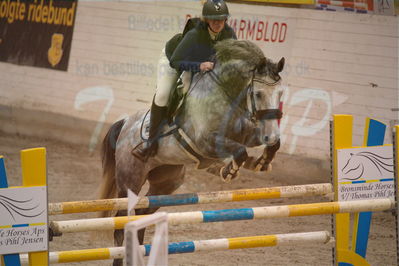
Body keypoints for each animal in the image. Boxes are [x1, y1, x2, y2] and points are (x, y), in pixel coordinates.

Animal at [101, 39, 286, 266]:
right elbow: (239, 151)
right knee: (122, 225)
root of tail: (125, 123)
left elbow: (262, 145)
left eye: (280, 94)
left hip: (166, 183)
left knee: (141, 217)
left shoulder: (246, 133)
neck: (226, 95)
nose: (272, 135)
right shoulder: (204, 141)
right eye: (258, 94)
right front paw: (230, 171)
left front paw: (262, 160)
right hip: (130, 182)